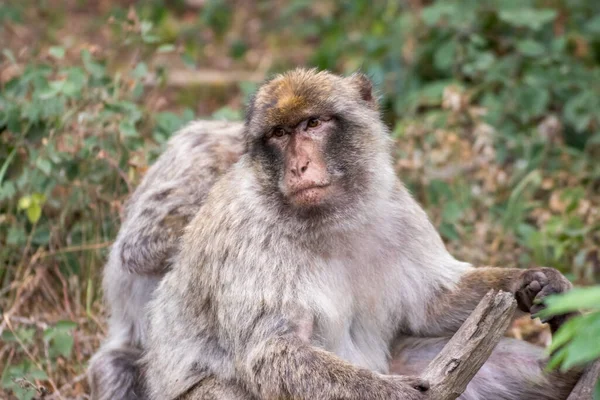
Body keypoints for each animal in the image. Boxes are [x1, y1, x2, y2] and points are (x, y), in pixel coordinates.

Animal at [138, 69, 580, 400]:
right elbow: (271, 352)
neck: (330, 220)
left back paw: (560, 372)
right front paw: (397, 396)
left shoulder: (395, 206)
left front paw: (531, 280)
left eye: (313, 124)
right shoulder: (249, 236)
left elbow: (431, 302)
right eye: (279, 134)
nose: (298, 166)